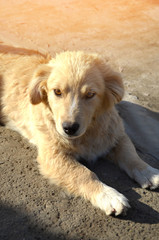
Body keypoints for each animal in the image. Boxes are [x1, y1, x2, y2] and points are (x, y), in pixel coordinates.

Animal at [0, 50, 158, 216]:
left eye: (90, 94)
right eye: (57, 91)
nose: (69, 128)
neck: (87, 133)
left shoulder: (116, 134)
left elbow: (131, 154)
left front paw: (148, 172)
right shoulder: (52, 154)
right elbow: (83, 173)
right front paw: (108, 195)